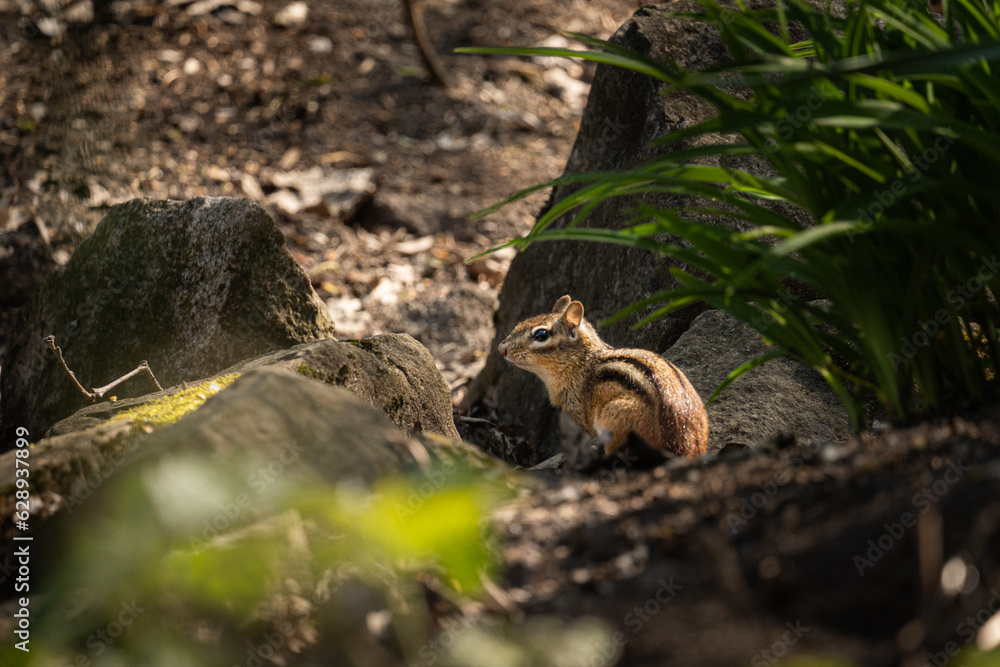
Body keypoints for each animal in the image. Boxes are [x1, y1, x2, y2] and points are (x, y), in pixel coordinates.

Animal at [498, 295, 709, 461]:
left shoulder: (578, 414)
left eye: (541, 335)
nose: (501, 349)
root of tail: (683, 445)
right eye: (520, 324)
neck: (581, 363)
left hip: (615, 418)